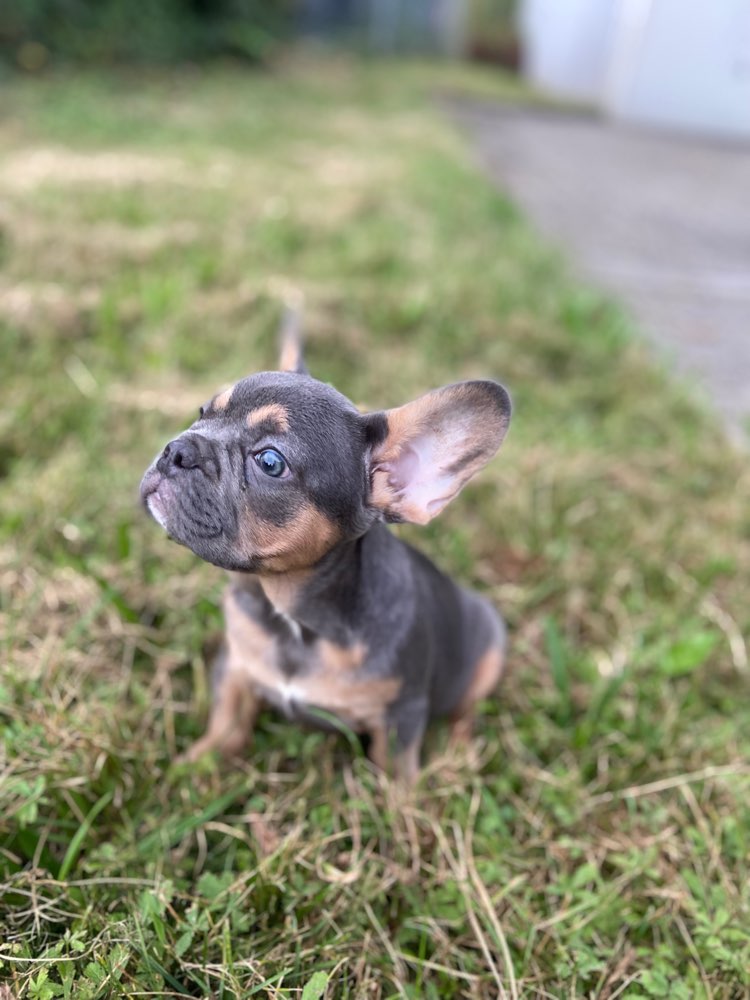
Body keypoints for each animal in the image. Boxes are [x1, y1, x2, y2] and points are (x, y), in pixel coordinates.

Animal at [140, 314, 512, 780]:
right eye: (202, 412)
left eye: (270, 462)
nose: (177, 449)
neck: (291, 615)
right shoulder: (237, 667)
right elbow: (226, 725)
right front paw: (192, 766)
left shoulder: (400, 717)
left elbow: (395, 780)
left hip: (490, 648)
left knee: (467, 708)